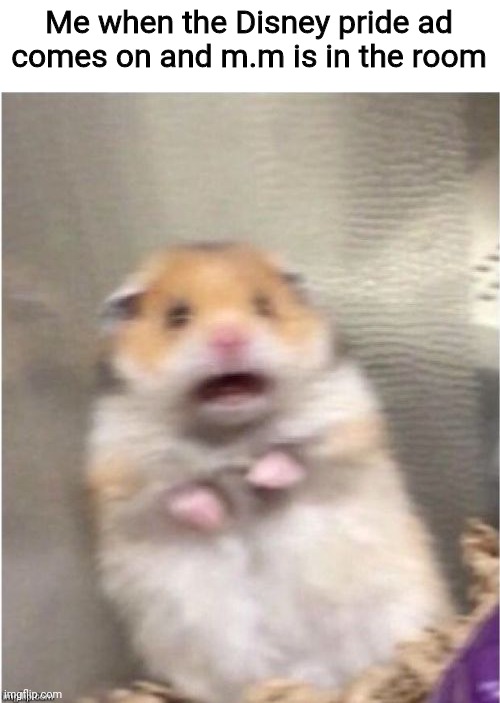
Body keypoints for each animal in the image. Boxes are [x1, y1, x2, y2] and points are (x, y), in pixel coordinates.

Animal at [86, 242, 451, 703]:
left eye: (264, 307)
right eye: (177, 316)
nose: (230, 338)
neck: (231, 433)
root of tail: (312, 677)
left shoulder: (347, 428)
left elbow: (294, 458)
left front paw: (259, 478)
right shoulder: (121, 474)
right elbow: (178, 493)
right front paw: (217, 514)